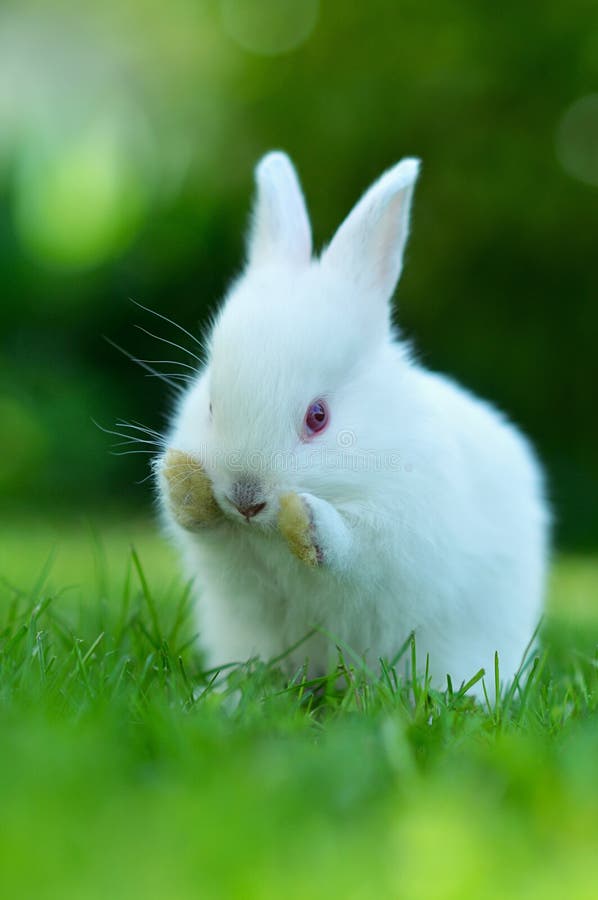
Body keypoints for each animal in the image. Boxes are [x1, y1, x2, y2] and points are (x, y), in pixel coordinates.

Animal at [155, 150, 549, 696]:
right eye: (211, 405)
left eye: (318, 417)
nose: (245, 499)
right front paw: (184, 486)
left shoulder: (396, 534)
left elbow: (351, 549)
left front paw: (309, 521)